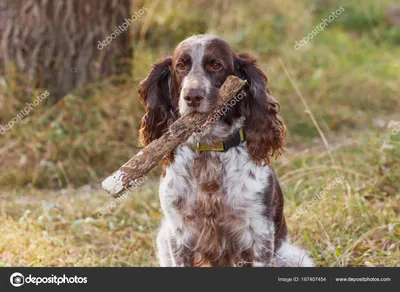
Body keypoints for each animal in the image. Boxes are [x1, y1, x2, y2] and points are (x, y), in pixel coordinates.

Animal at [139, 34, 314, 266]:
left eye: (216, 65)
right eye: (181, 66)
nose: (192, 96)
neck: (208, 152)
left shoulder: (260, 234)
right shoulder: (179, 234)